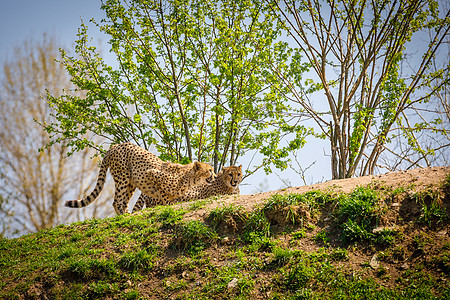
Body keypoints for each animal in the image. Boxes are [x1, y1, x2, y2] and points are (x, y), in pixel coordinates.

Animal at [64, 142, 216, 214]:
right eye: (209, 170)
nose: (215, 176)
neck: (189, 177)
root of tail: (115, 146)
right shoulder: (152, 173)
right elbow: (166, 197)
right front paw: (168, 204)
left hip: (131, 183)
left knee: (124, 201)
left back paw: (128, 214)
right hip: (123, 176)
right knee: (116, 201)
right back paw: (124, 216)